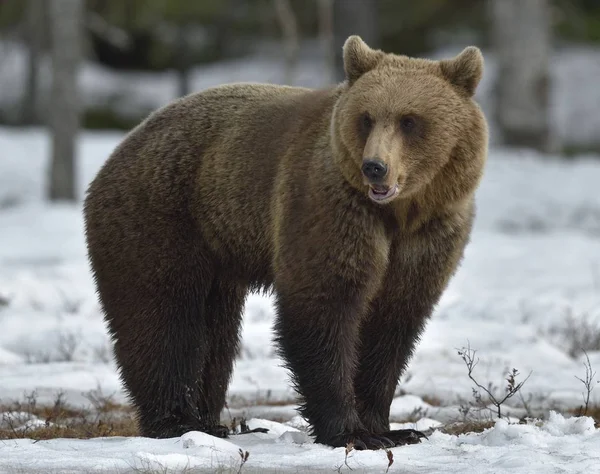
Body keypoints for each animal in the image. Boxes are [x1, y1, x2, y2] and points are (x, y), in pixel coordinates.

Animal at [83, 35, 488, 450]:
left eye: (410, 120)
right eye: (366, 118)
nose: (374, 167)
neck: (399, 213)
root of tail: (118, 150)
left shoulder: (429, 235)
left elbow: (393, 324)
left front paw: (394, 429)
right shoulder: (330, 209)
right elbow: (323, 306)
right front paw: (352, 432)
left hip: (218, 250)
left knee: (217, 334)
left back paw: (211, 422)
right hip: (164, 217)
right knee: (165, 317)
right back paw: (177, 422)